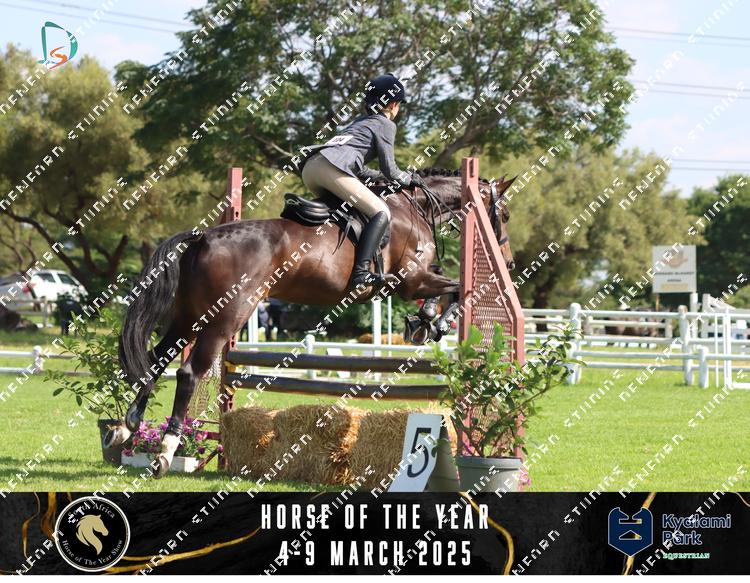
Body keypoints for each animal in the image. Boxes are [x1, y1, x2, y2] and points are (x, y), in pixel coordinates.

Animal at [108, 168, 516, 477]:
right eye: (506, 215)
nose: (510, 262)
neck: (414, 207)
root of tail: (201, 238)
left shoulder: (415, 281)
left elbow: (447, 289)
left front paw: (423, 321)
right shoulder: (411, 280)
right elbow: (457, 290)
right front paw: (433, 323)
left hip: (190, 316)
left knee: (156, 360)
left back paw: (126, 427)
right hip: (227, 316)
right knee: (189, 372)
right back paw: (165, 451)